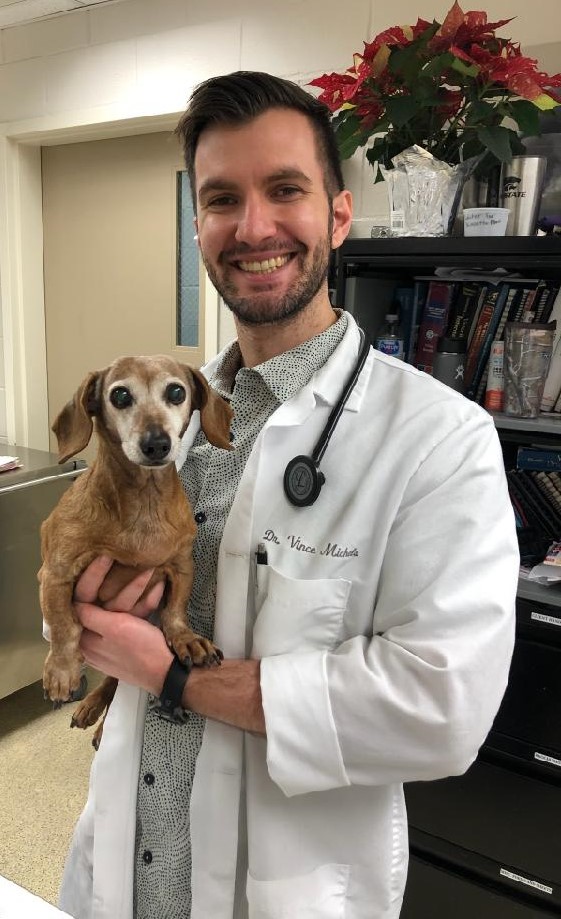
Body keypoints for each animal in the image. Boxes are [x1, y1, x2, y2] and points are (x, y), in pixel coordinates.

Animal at [39, 354, 233, 747]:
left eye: (176, 392)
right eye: (120, 395)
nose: (156, 443)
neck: (144, 500)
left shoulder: (181, 566)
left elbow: (175, 612)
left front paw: (186, 639)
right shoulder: (54, 572)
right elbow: (64, 624)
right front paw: (62, 670)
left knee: (118, 679)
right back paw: (90, 706)